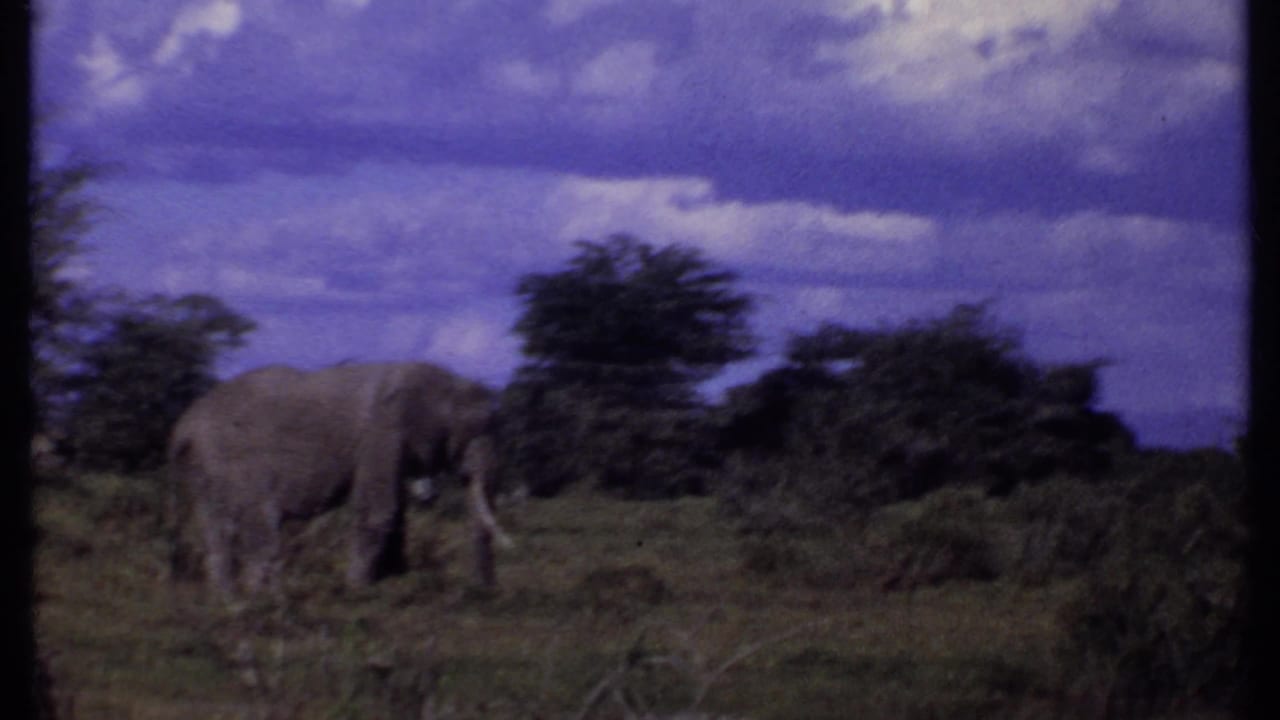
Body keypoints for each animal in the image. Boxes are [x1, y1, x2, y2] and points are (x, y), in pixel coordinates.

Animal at [167, 361, 514, 601]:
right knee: (256, 519)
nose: (486, 592)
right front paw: (359, 589)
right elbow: (379, 510)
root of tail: (184, 425)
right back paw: (262, 598)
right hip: (229, 458)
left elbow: (395, 511)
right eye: (474, 433)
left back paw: (228, 598)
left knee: (217, 526)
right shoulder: (382, 434)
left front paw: (391, 578)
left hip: (204, 465)